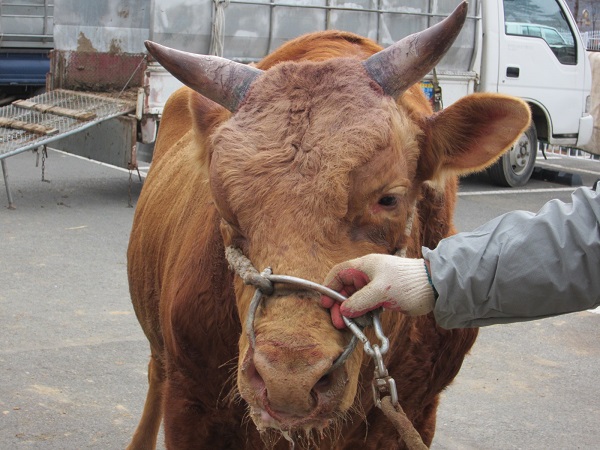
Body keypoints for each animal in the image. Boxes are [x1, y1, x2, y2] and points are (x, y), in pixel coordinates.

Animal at [127, 2, 528, 446]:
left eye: (389, 198)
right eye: (223, 205)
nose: (288, 380)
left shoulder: (417, 412)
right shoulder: (190, 404)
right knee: (155, 373)